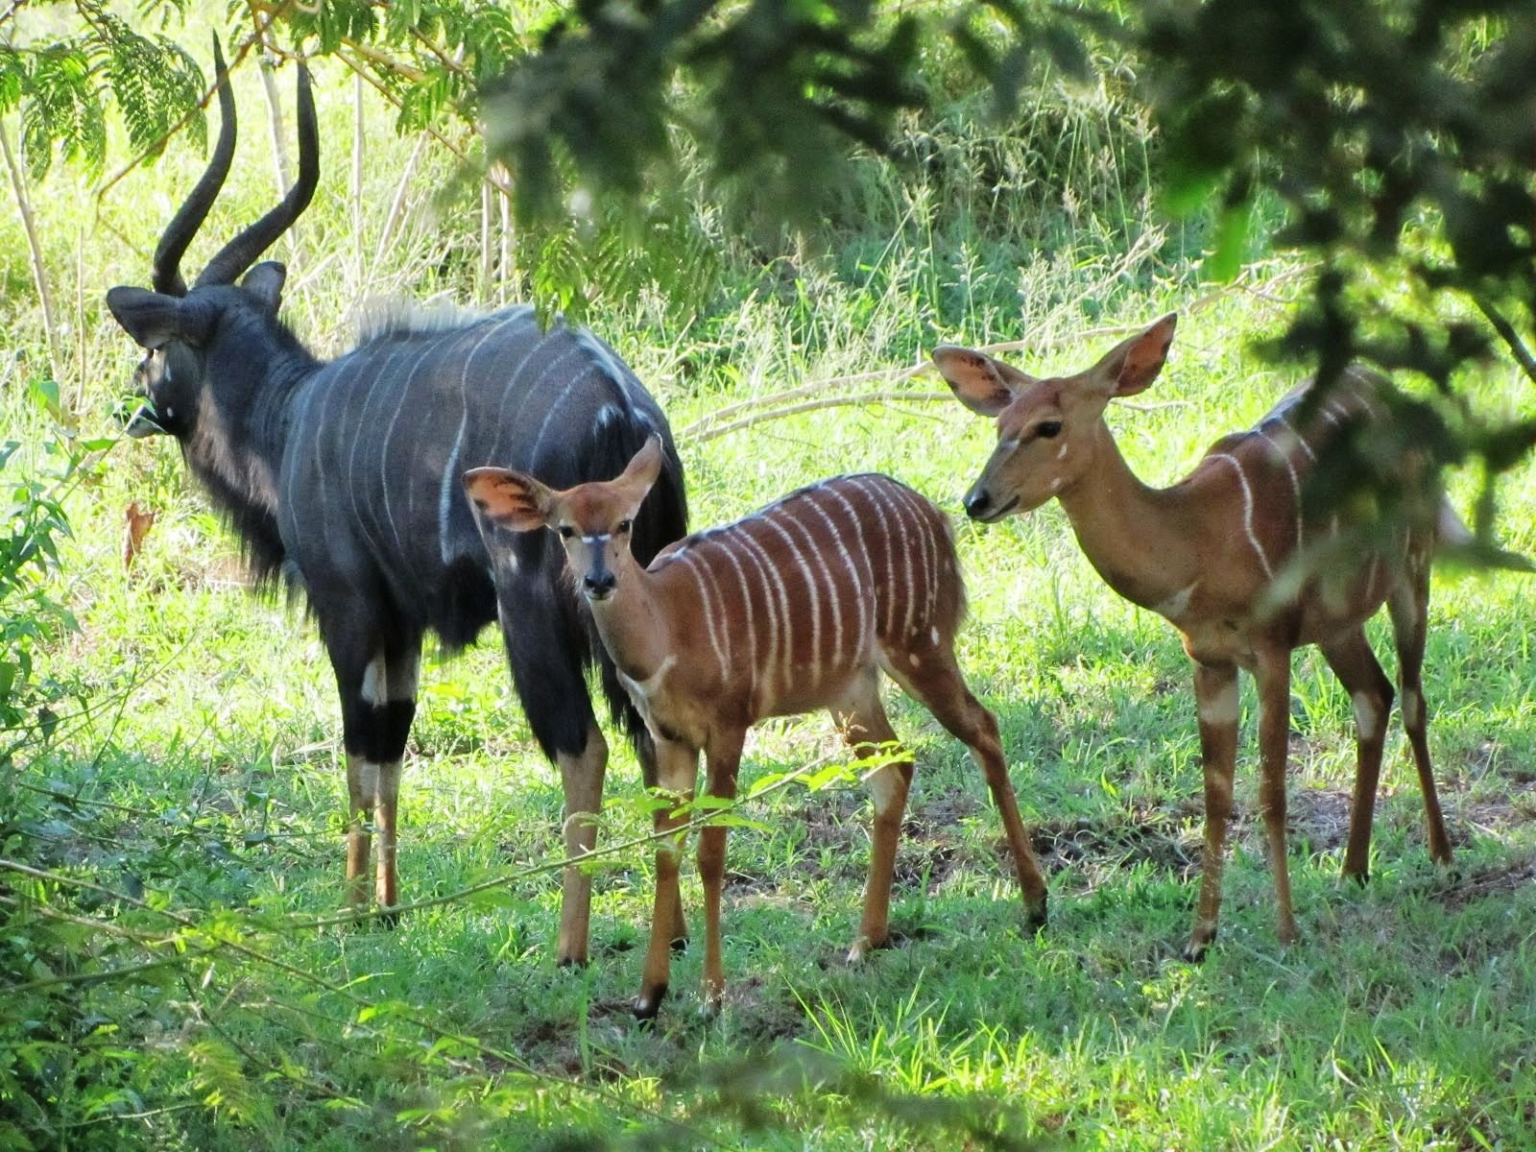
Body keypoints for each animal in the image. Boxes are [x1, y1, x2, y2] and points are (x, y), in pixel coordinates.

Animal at [460, 442, 1050, 1019]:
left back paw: (1035, 905)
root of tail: (934, 514)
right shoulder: (670, 739)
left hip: (919, 645)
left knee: (984, 730)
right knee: (894, 769)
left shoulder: (727, 726)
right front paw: (649, 997)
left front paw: (710, 997)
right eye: (565, 529)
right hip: (851, 690)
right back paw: (865, 941)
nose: (599, 581)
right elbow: (666, 848)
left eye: (625, 524)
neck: (666, 626)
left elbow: (711, 851)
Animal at [933, 316, 1462, 964]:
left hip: (1413, 566)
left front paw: (1286, 932)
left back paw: (1442, 857)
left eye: (1048, 426)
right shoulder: (1209, 659)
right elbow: (1216, 794)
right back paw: (1352, 870)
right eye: (999, 426)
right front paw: (1200, 938)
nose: (976, 501)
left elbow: (1271, 790)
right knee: (1374, 696)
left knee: (1412, 698)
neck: (1197, 540)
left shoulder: (1271, 648)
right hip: (1339, 621)